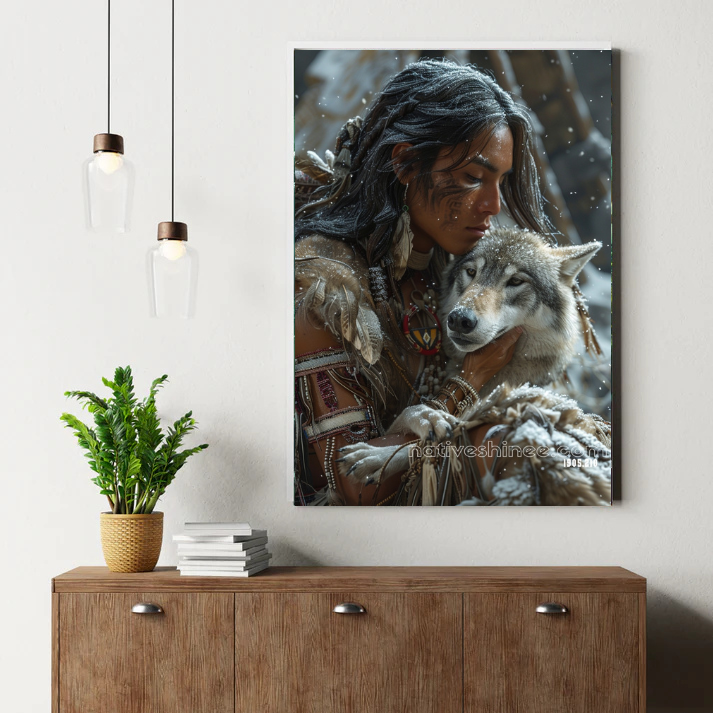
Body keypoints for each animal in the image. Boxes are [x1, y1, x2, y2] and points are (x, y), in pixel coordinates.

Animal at [337, 228, 603, 488]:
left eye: (516, 281)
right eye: (471, 272)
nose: (459, 320)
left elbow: (433, 447)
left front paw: (377, 458)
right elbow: (410, 417)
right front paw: (425, 417)